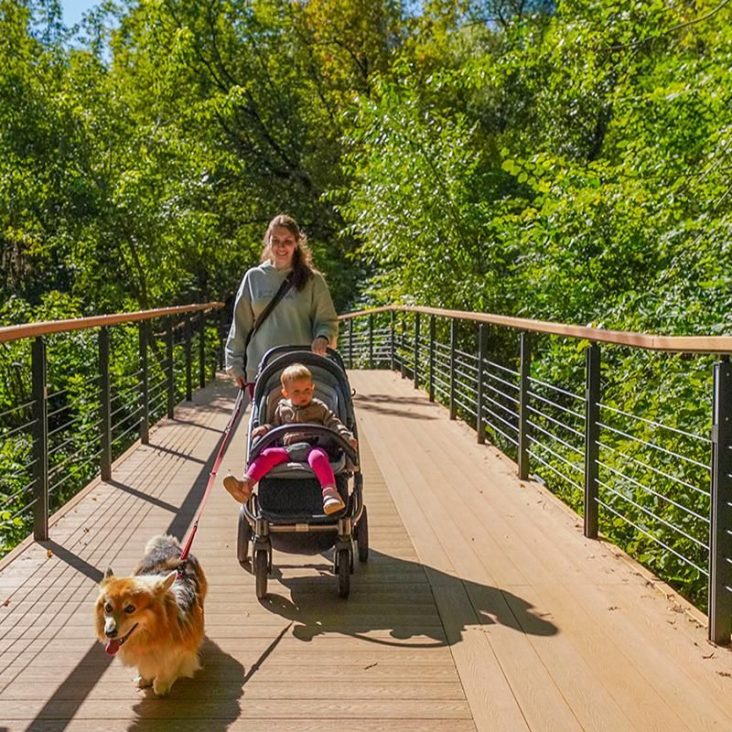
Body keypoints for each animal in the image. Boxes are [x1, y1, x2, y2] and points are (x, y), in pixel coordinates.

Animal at [94, 536, 207, 696]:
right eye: (108, 607)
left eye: (130, 608)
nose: (109, 633)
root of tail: (168, 544)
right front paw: (143, 679)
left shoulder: (183, 650)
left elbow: (166, 673)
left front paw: (162, 684)